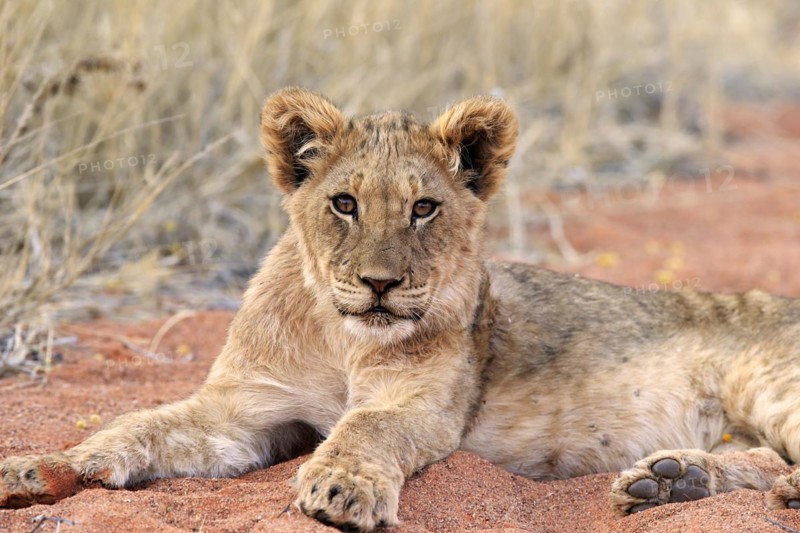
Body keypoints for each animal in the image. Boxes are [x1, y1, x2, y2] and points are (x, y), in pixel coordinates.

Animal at [1, 87, 799, 531]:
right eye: (344, 204)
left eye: (424, 208)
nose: (380, 284)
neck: (341, 338)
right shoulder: (245, 409)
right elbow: (137, 425)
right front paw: (39, 469)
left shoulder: (421, 405)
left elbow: (365, 428)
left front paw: (341, 490)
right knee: (761, 455)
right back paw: (670, 481)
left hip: (772, 385)